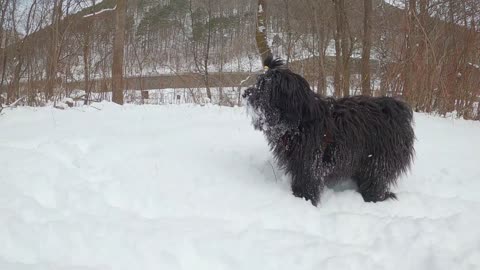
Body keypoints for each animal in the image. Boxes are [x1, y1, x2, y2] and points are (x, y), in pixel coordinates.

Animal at [242, 56, 414, 206]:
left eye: (264, 88)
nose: (244, 93)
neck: (300, 122)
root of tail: (394, 108)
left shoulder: (310, 164)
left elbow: (307, 182)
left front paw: (303, 199)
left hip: (379, 159)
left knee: (376, 180)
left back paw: (373, 198)